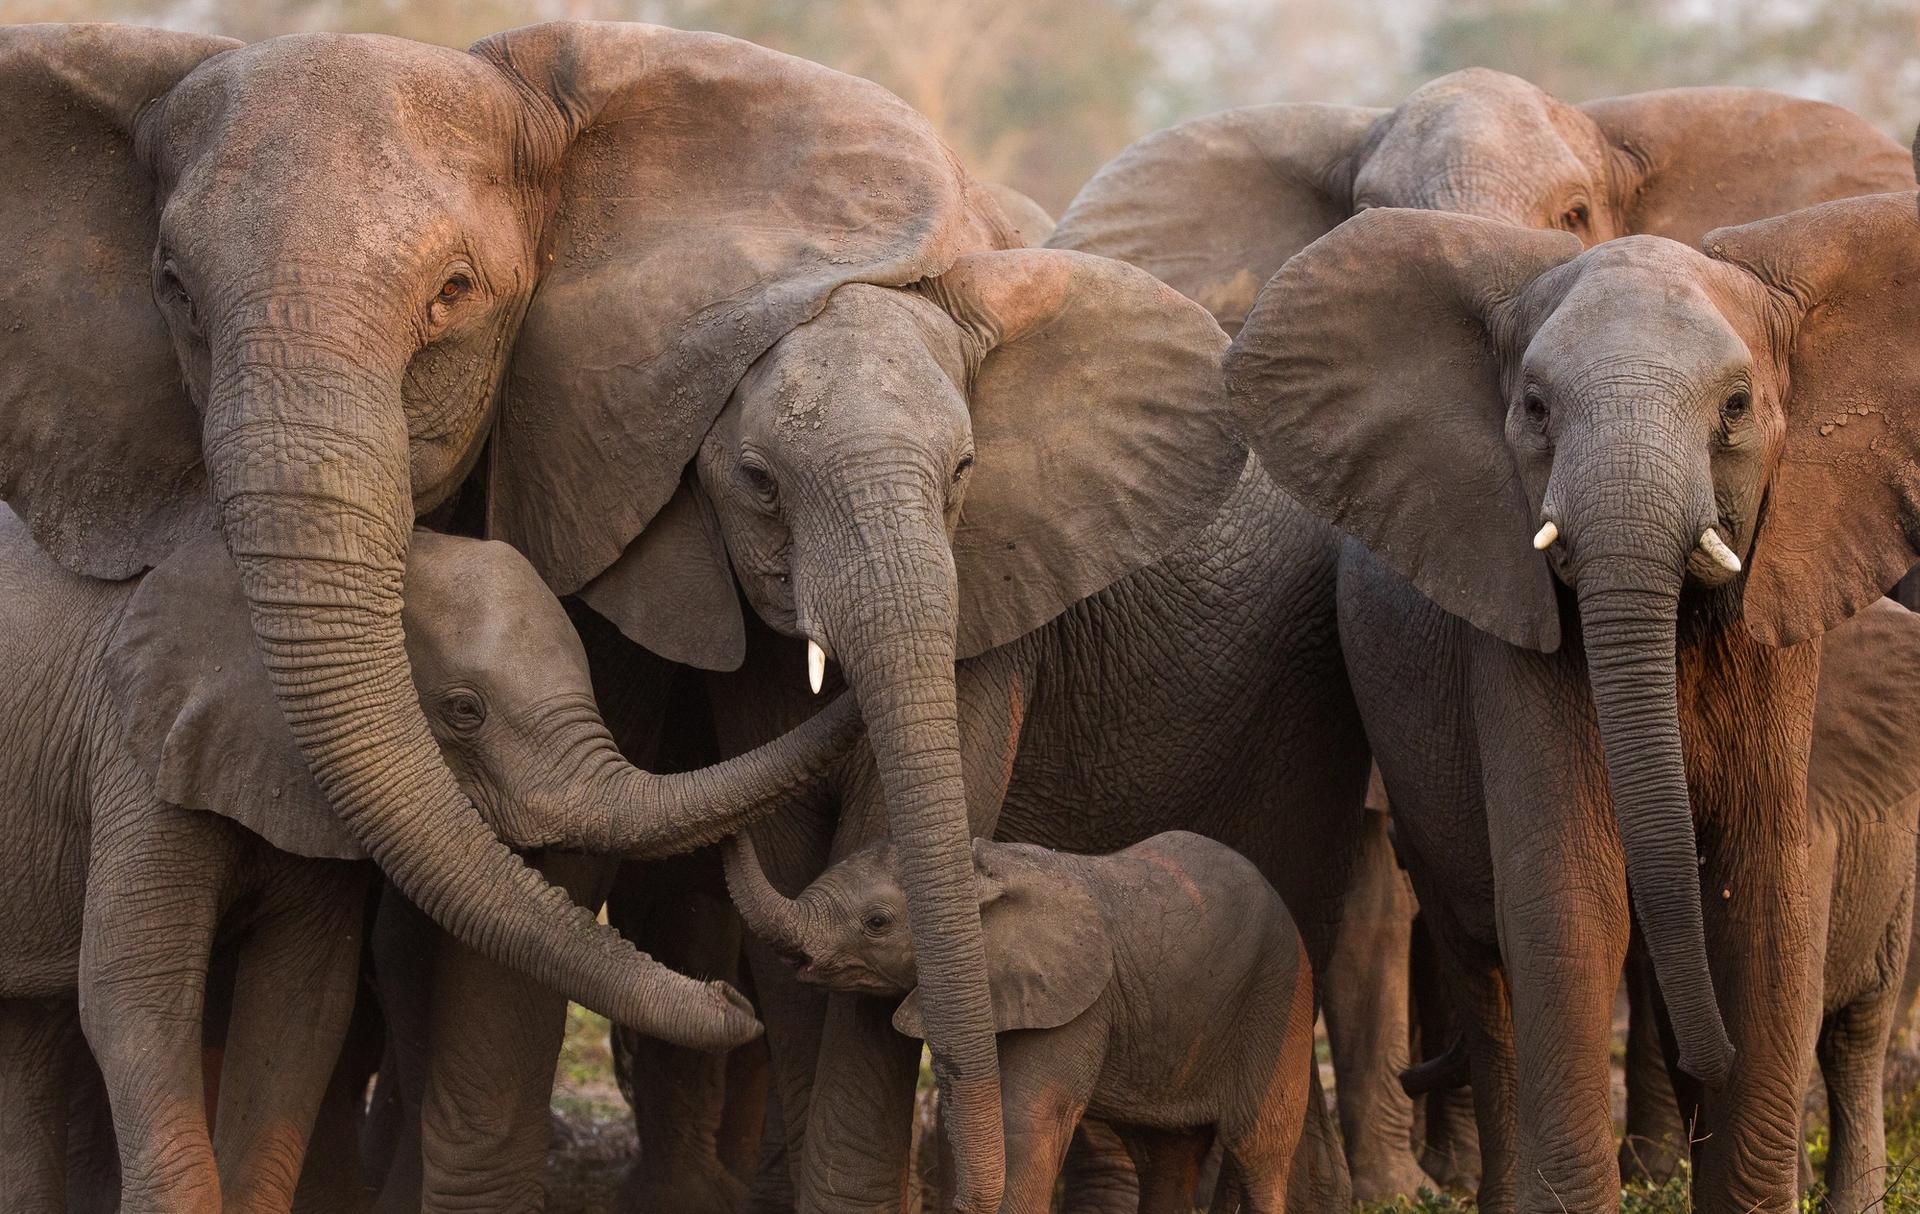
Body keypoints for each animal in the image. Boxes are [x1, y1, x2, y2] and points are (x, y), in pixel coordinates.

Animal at [0, 505, 854, 1211]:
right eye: (463, 711)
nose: (733, 998)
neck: (294, 585)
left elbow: (301, 1007)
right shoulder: (134, 764)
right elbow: (135, 996)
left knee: (29, 1035)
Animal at [724, 829, 1316, 1213]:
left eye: (877, 922)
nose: (736, 829)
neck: (986, 868)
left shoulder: (1077, 1002)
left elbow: (1026, 1118)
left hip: (1280, 999)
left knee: (1258, 1149)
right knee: (1168, 1157)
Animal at [1048, 68, 1914, 1202]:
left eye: (1736, 408)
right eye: (1534, 407)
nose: (1706, 1061)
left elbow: (1764, 899)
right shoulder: (1506, 626)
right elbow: (1566, 897)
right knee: (1481, 960)